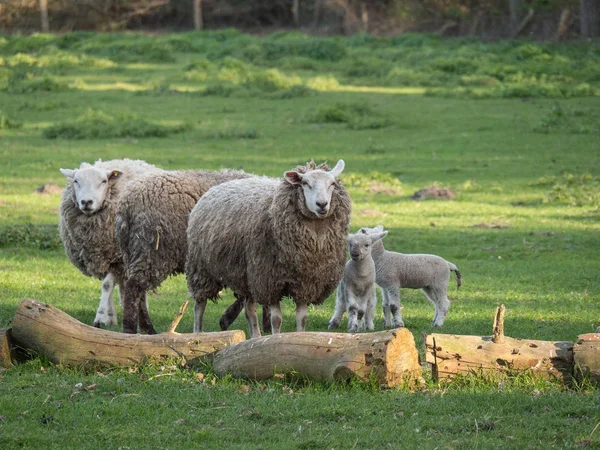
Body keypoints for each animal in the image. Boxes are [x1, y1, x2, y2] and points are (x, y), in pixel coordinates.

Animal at [58, 158, 159, 326]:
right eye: (76, 181)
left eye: (104, 181)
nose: (86, 202)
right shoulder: (101, 256)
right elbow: (106, 285)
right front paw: (110, 316)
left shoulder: (116, 258)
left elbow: (107, 285)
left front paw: (101, 317)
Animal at [115, 167, 253, 332]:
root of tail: (126, 205)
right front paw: (229, 318)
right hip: (153, 250)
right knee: (134, 288)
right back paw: (131, 329)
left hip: (133, 252)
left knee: (138, 290)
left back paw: (148, 330)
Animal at [185, 160, 350, 340]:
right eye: (305, 184)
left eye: (332, 184)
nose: (322, 205)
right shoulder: (269, 281)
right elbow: (276, 320)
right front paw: (275, 339)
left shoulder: (305, 283)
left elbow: (302, 318)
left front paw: (299, 336)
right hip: (201, 268)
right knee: (199, 305)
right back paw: (197, 334)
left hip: (247, 275)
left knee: (249, 310)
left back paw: (255, 337)